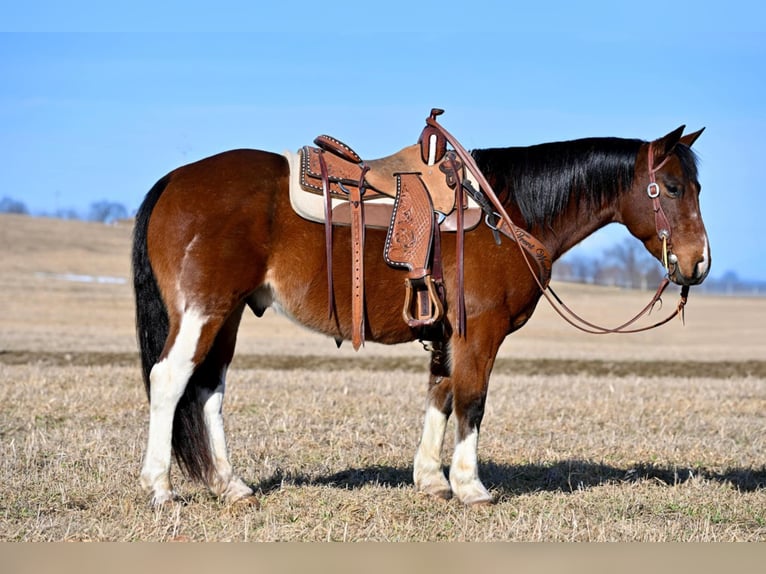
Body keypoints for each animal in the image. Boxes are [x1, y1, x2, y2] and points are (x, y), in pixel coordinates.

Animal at [130, 117, 708, 508]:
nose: (698, 263)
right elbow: (472, 401)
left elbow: (441, 395)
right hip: (203, 312)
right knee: (170, 379)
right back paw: (159, 487)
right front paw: (471, 486)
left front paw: (431, 480)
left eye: (696, 187)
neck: (505, 213)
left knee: (208, 390)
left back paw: (231, 486)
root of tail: (174, 181)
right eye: (672, 187)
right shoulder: (479, 332)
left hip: (226, 316)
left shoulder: (446, 333)